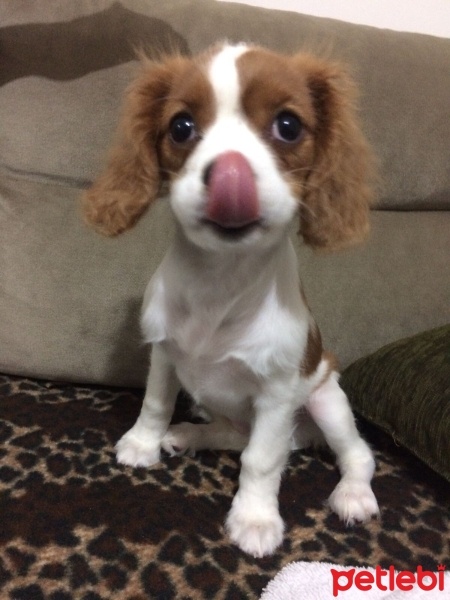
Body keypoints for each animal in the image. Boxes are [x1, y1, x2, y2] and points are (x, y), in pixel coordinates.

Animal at [81, 42, 380, 556]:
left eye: (288, 125)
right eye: (181, 126)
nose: (230, 175)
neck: (219, 281)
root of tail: (302, 438)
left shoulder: (278, 394)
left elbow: (261, 460)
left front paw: (255, 519)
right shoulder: (164, 353)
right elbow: (155, 402)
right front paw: (143, 444)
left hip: (326, 401)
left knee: (355, 454)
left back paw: (353, 495)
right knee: (232, 435)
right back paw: (188, 434)